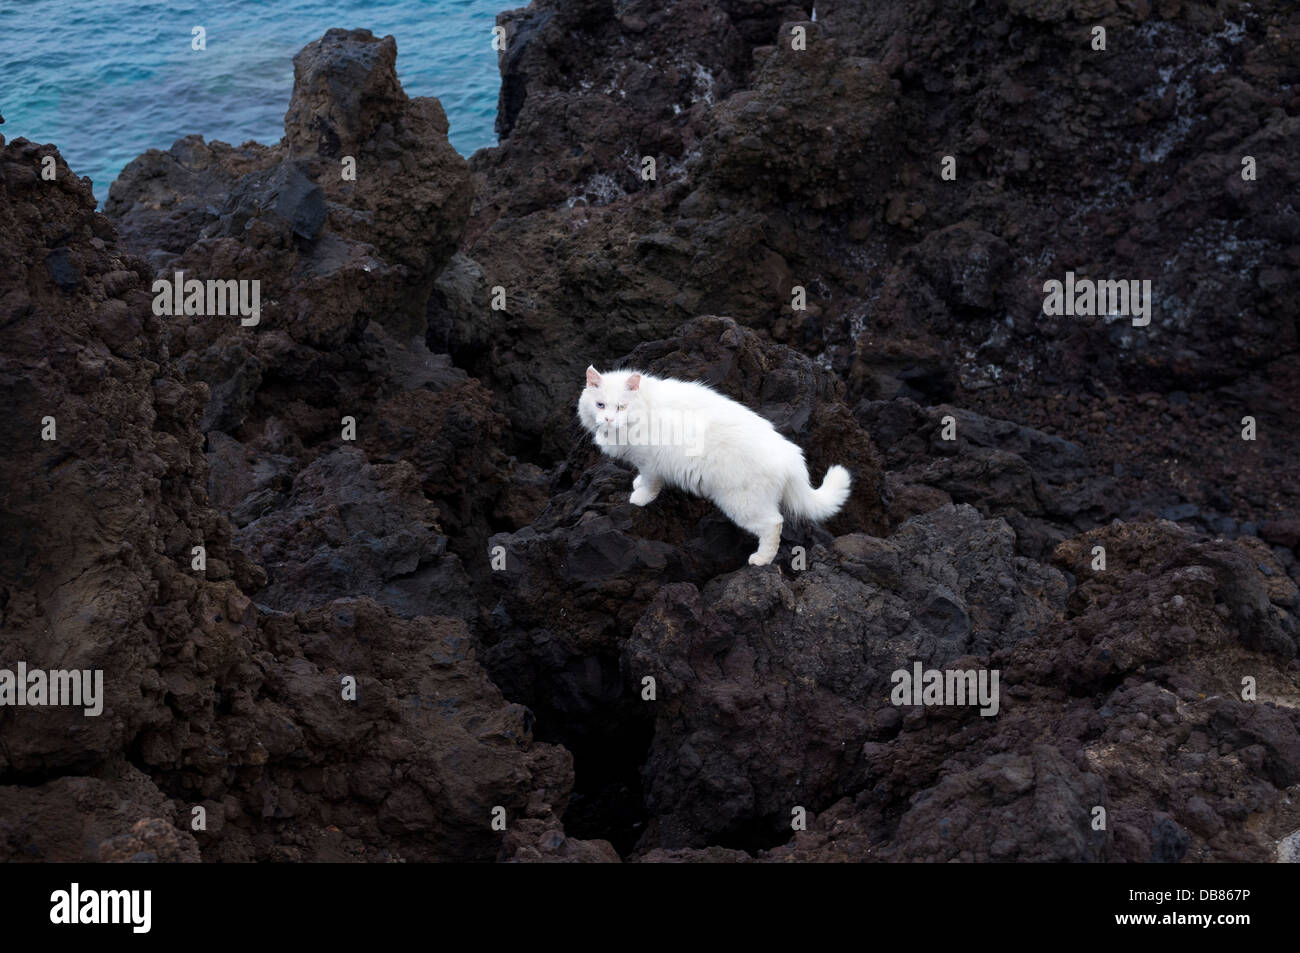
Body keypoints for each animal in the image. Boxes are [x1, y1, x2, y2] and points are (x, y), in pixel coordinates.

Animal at [579, 361, 852, 561]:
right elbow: (642, 478)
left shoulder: (650, 462)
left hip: (742, 504)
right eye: (600, 405)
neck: (643, 409)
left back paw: (761, 560)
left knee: (774, 524)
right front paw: (636, 485)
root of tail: (791, 455)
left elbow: (650, 484)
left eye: (621, 407)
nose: (608, 420)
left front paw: (639, 498)